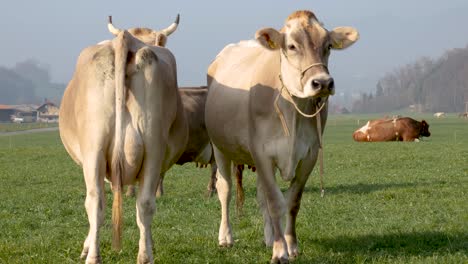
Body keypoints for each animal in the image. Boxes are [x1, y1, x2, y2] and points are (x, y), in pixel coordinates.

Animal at [59, 15, 189, 262]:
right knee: (142, 203)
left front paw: (86, 246)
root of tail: (126, 38)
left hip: (95, 152)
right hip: (149, 149)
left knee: (96, 201)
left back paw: (94, 255)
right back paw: (143, 256)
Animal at [204, 9, 358, 262]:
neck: (292, 108)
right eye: (292, 46)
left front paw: (290, 245)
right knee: (224, 189)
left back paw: (268, 237)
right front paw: (279, 251)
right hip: (220, 147)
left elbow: (292, 201)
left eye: (328, 46)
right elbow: (276, 202)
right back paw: (225, 237)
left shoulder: (309, 155)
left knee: (260, 195)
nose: (322, 83)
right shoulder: (262, 153)